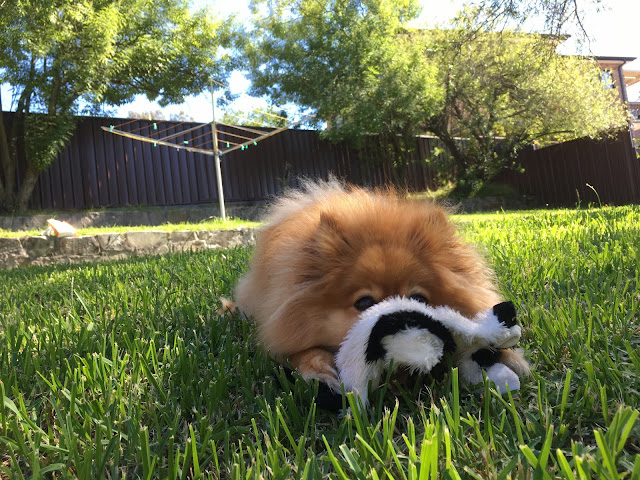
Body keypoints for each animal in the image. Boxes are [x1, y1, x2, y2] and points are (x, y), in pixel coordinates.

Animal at [232, 180, 528, 390]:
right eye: (364, 303)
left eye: (419, 299)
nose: (401, 319)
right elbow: (303, 353)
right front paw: (320, 372)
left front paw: (508, 358)